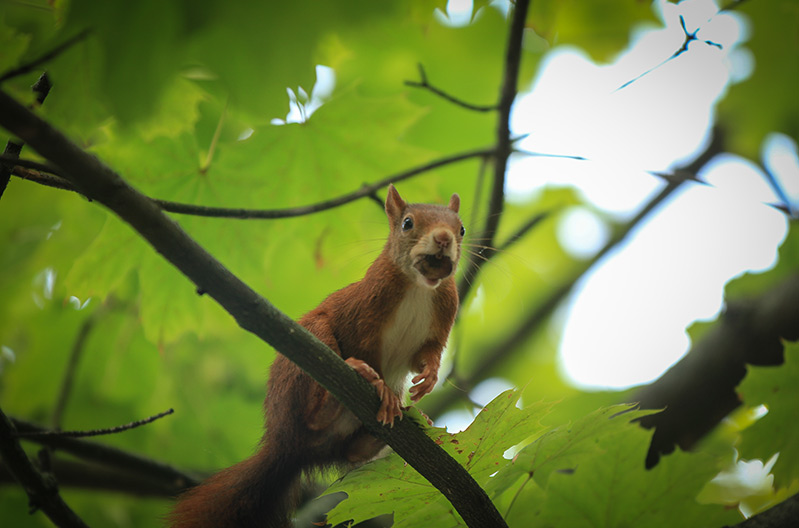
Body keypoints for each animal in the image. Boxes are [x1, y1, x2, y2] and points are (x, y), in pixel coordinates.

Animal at [172, 185, 466, 528]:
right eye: (408, 223)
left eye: (461, 229)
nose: (444, 238)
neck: (420, 287)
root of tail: (286, 446)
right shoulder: (363, 315)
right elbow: (366, 348)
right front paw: (381, 386)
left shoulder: (440, 322)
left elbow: (426, 356)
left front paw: (428, 378)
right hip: (308, 353)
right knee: (314, 414)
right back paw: (344, 392)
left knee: (352, 454)